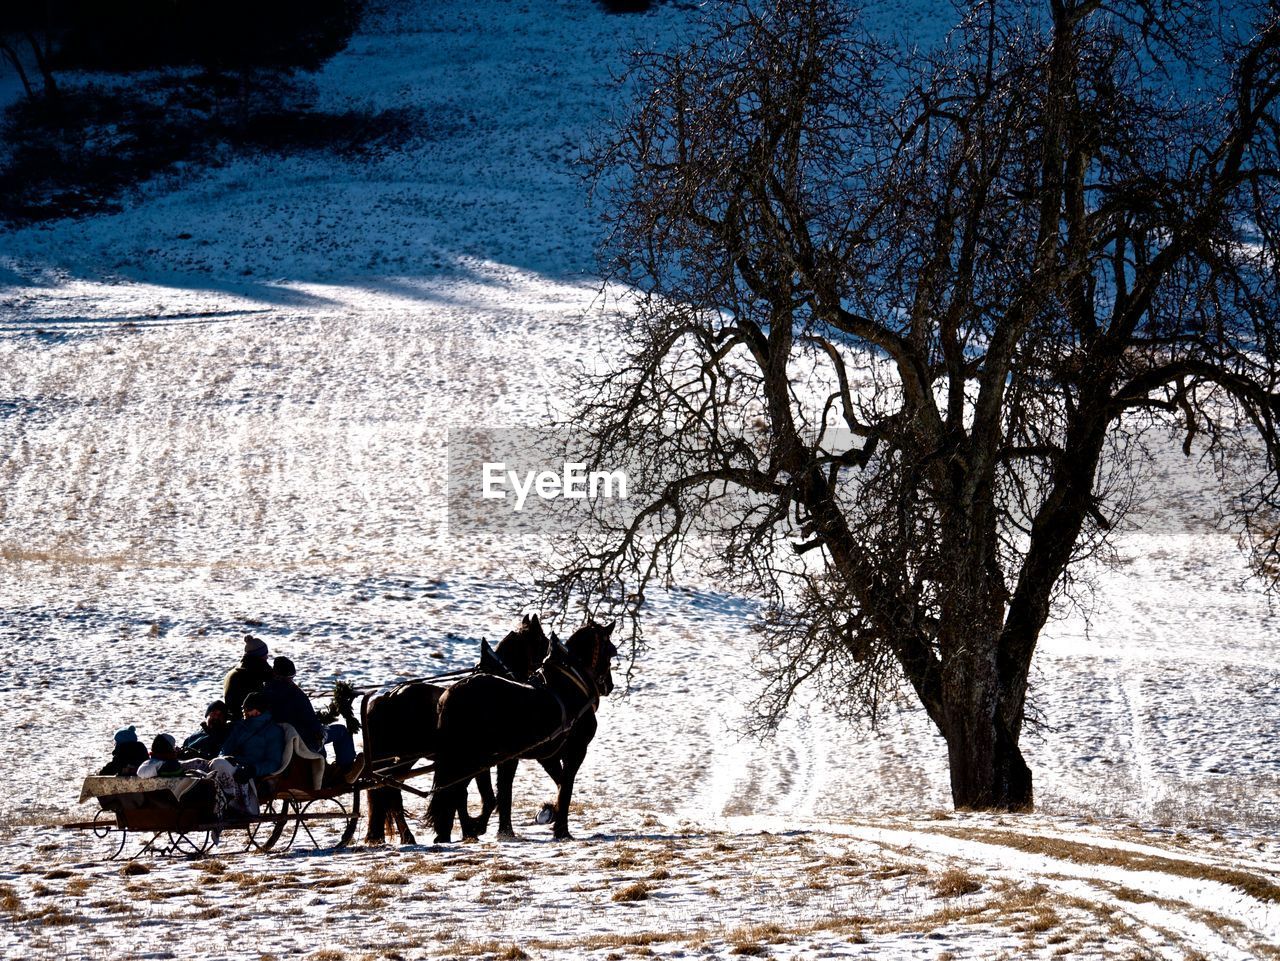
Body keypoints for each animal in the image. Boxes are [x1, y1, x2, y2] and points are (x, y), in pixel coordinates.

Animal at [358, 611, 547, 844]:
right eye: (543, 641)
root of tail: (387, 697)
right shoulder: (491, 760)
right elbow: (491, 796)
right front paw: (480, 829)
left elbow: (463, 795)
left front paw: (459, 831)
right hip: (405, 758)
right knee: (390, 793)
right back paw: (406, 836)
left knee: (388, 792)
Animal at [427, 624, 616, 839]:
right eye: (611, 650)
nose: (610, 685)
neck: (570, 686)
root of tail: (450, 694)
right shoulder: (575, 751)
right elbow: (565, 787)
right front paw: (561, 829)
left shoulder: (543, 755)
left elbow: (551, 784)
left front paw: (544, 814)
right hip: (470, 757)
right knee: (455, 791)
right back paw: (463, 830)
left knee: (453, 792)